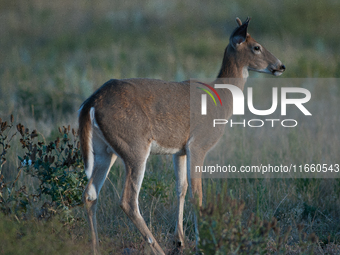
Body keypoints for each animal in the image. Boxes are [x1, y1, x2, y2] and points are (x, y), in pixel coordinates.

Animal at [79, 16, 284, 254]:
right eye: (256, 47)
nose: (280, 66)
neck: (222, 98)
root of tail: (92, 102)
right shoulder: (198, 145)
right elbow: (198, 193)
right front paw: (201, 242)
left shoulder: (180, 150)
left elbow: (181, 188)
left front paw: (180, 240)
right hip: (134, 147)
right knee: (128, 200)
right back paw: (157, 248)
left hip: (104, 150)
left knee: (90, 193)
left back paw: (96, 247)